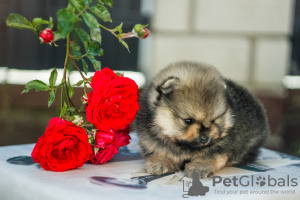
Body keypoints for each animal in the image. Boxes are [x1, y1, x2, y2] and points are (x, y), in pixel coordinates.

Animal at [136, 61, 270, 178]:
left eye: (213, 120)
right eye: (188, 121)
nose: (205, 139)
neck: (184, 146)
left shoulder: (221, 146)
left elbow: (208, 156)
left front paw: (198, 167)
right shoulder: (151, 139)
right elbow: (160, 150)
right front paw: (160, 161)